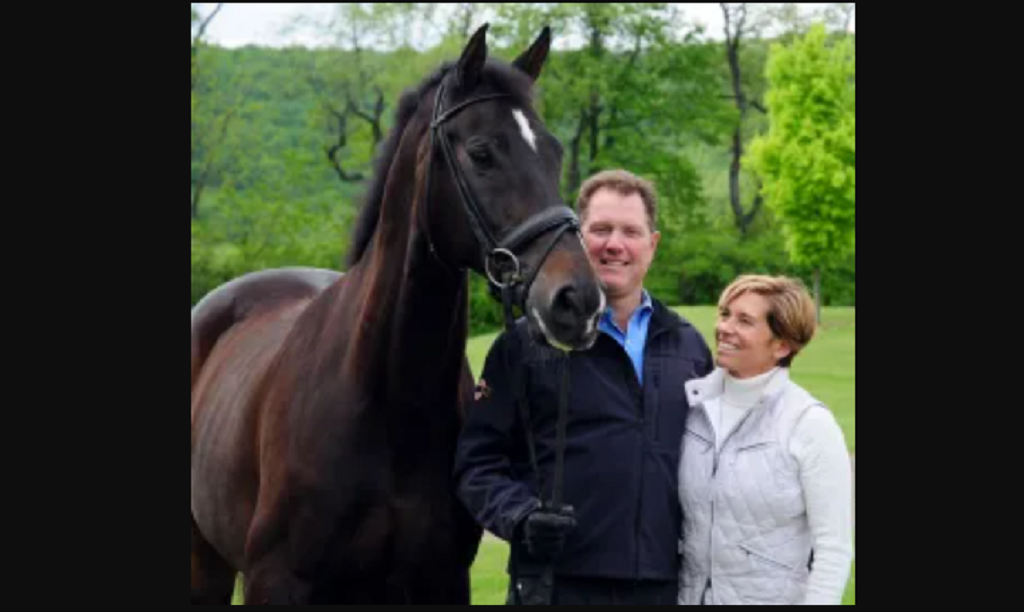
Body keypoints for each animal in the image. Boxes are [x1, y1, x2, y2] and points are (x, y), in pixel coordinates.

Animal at [191, 26, 602, 605]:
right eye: (482, 153)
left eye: (554, 151)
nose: (578, 300)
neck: (388, 401)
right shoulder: (278, 582)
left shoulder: (441, 582)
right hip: (203, 563)